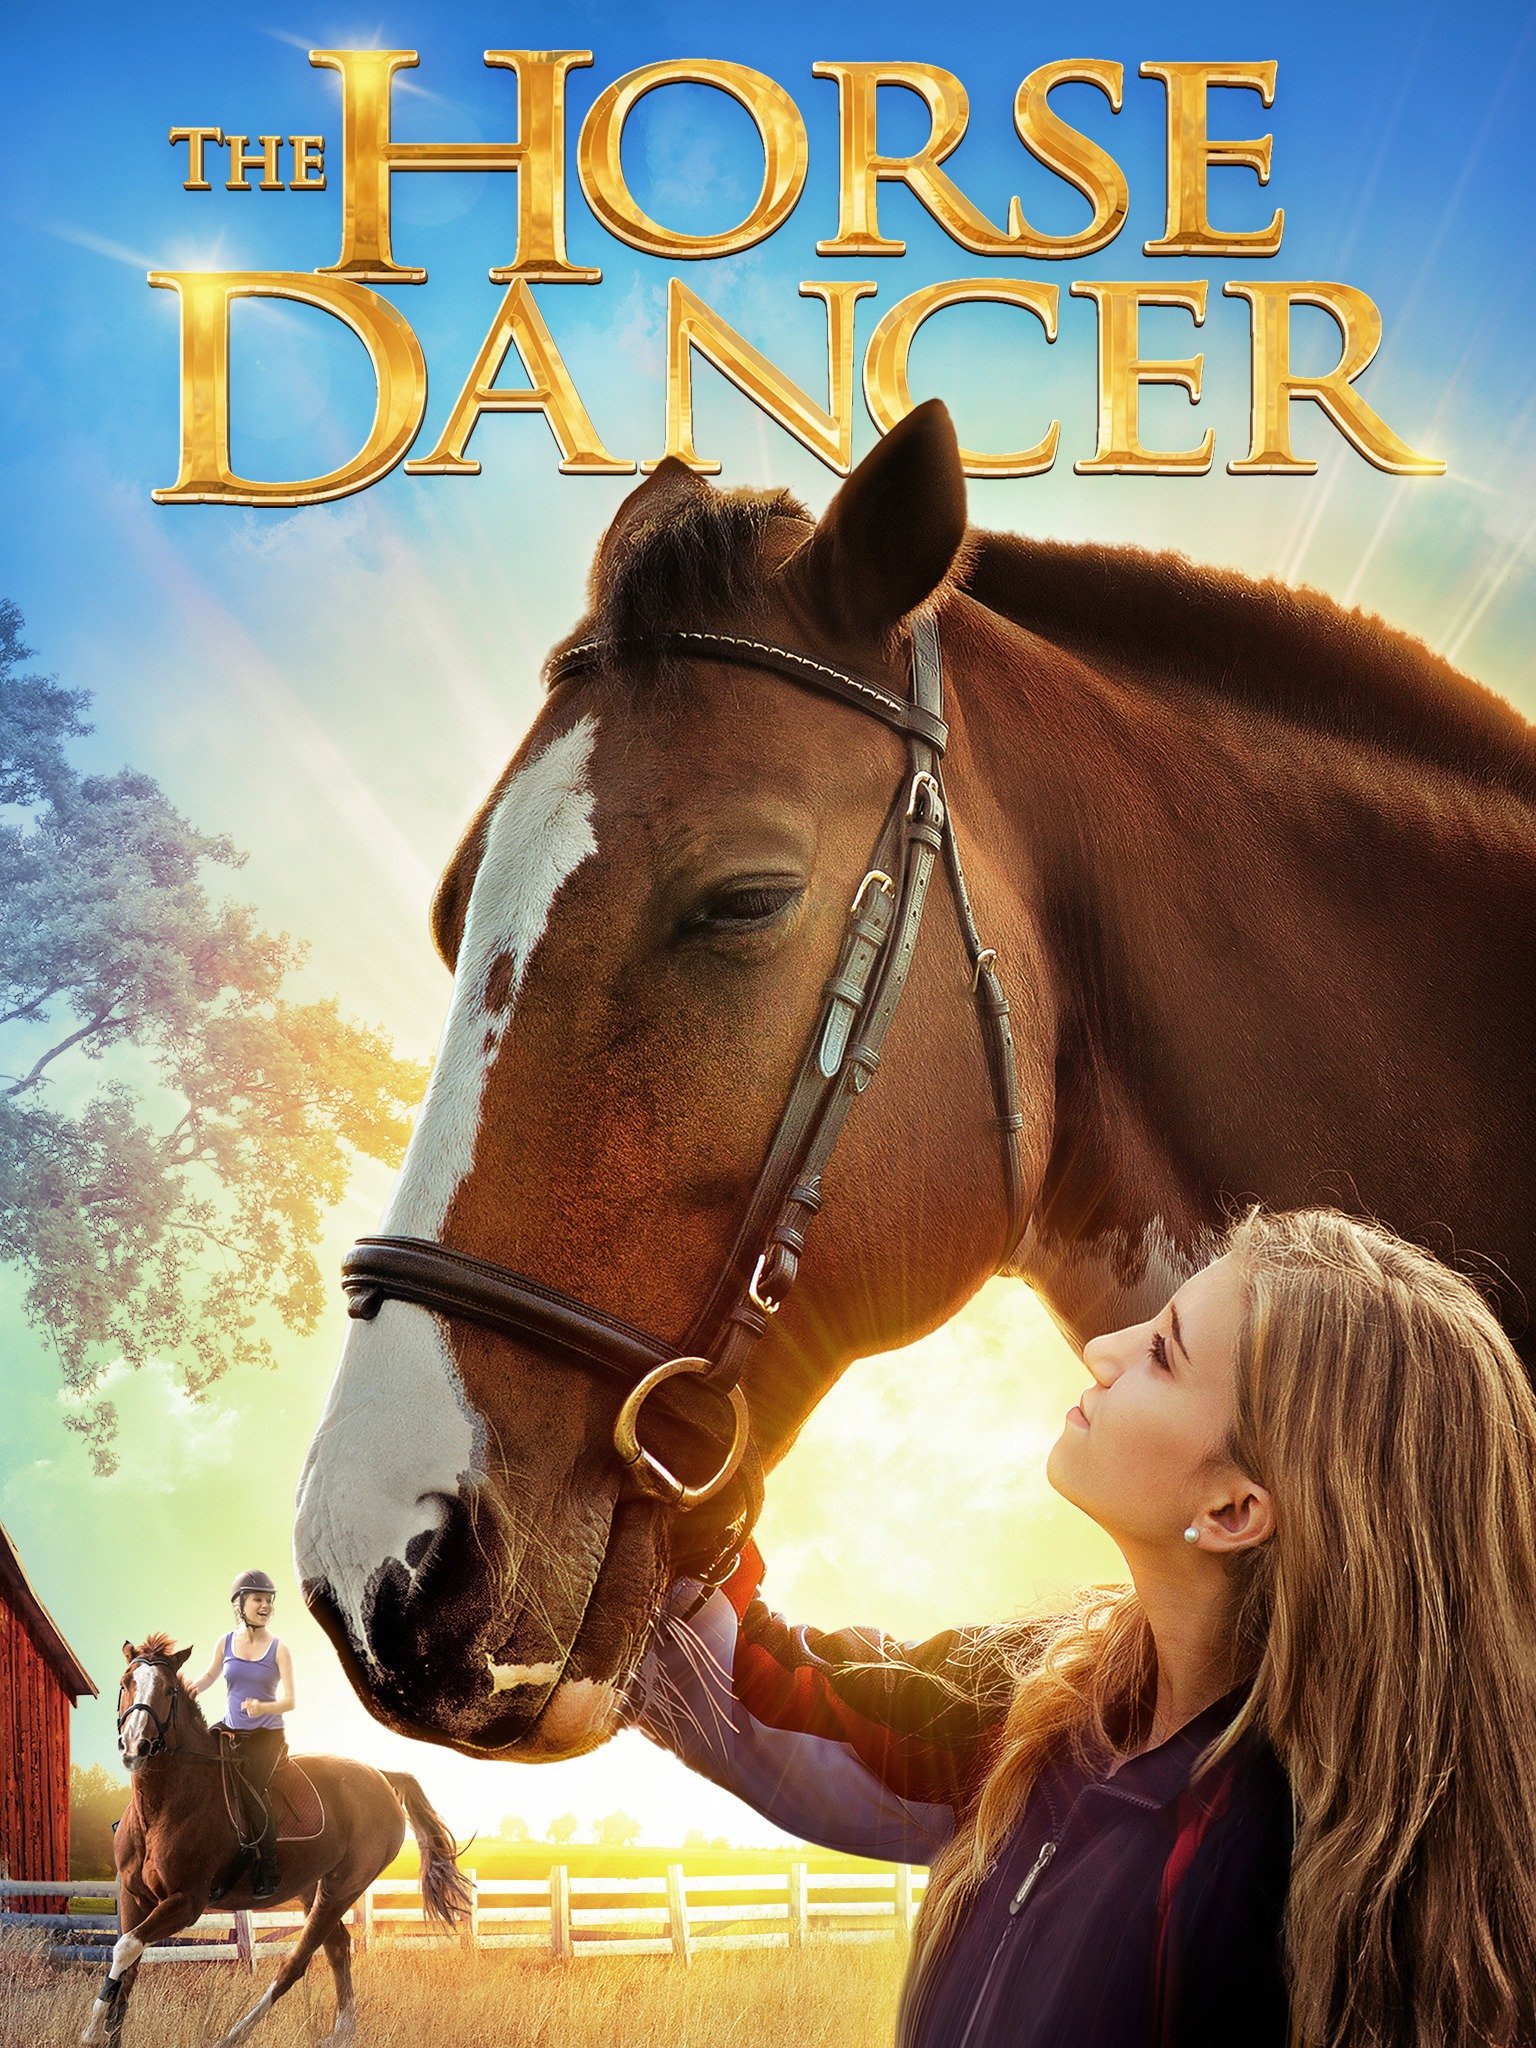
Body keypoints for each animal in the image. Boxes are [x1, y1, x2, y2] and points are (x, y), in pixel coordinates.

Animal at [82, 1635, 470, 2047]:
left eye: (169, 1690)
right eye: (126, 1683)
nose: (135, 1746)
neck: (161, 1807)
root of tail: (381, 1775)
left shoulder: (186, 1903)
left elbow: (124, 1949)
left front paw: (89, 2032)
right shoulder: (134, 1896)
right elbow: (128, 1970)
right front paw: (109, 2033)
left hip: (342, 1887)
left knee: (295, 1964)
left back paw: (233, 2036)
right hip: (311, 1887)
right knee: (338, 1948)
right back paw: (342, 2032)